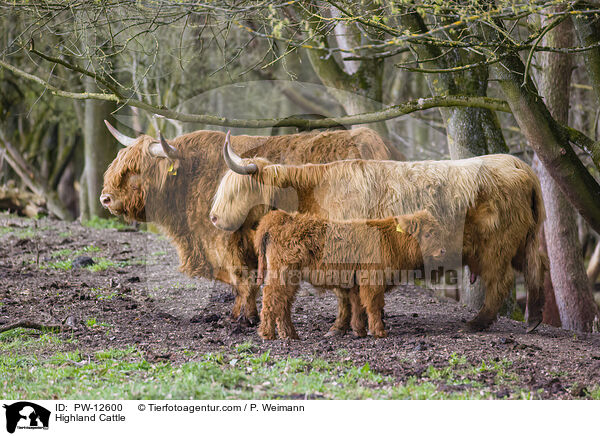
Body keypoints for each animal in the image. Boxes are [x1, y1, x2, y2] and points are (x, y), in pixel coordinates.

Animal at [100, 121, 392, 328]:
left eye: (135, 170)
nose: (105, 198)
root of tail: (369, 141)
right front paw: (236, 314)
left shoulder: (225, 239)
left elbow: (242, 279)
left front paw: (246, 318)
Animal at [255, 209, 448, 338]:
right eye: (428, 234)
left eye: (438, 232)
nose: (443, 251)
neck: (391, 240)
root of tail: (282, 217)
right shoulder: (372, 280)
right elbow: (374, 305)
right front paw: (379, 331)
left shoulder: (356, 282)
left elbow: (357, 305)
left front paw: (359, 331)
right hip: (282, 273)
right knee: (271, 298)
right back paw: (267, 333)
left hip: (290, 278)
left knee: (283, 303)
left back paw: (289, 335)